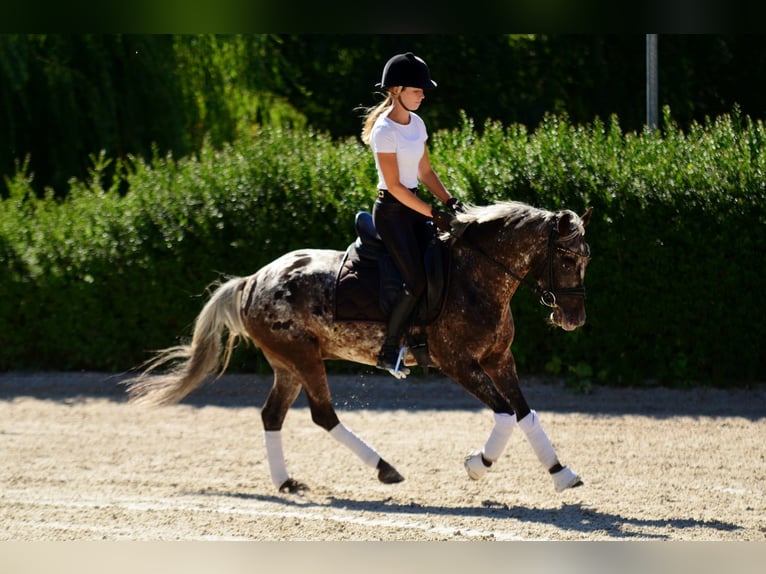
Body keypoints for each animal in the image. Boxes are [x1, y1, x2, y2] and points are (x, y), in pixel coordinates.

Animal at [124, 200, 593, 494]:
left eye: (585, 259)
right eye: (568, 259)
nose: (575, 319)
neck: (476, 277)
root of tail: (253, 281)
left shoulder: (499, 359)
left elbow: (525, 413)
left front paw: (561, 473)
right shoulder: (458, 363)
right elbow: (504, 415)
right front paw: (478, 464)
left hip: (288, 364)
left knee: (273, 415)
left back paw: (286, 482)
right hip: (303, 357)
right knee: (323, 415)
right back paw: (385, 468)